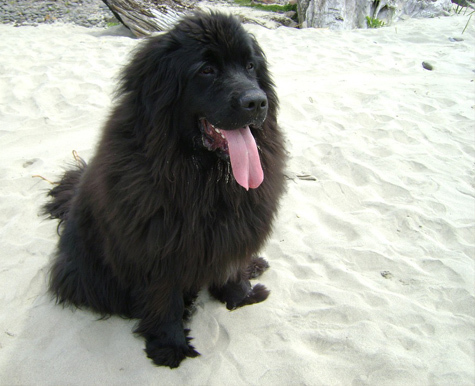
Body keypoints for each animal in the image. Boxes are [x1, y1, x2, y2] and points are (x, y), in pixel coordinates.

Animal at [42, 12, 284, 368]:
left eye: (251, 66)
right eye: (206, 70)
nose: (256, 101)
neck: (203, 178)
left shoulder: (233, 228)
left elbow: (230, 266)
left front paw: (241, 296)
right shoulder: (156, 248)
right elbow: (163, 297)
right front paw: (170, 345)